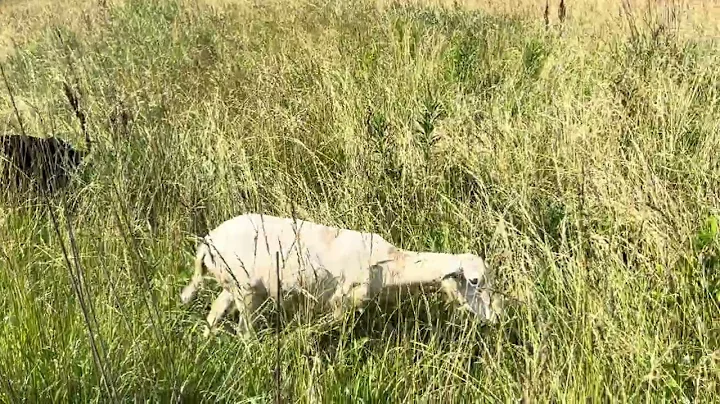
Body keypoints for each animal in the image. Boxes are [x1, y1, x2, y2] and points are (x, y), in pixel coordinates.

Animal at [180, 213, 503, 337]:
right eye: (474, 282)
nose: (498, 317)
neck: (392, 267)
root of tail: (206, 244)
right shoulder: (343, 301)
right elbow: (325, 325)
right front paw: (299, 337)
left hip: (235, 286)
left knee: (214, 311)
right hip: (244, 289)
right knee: (244, 330)